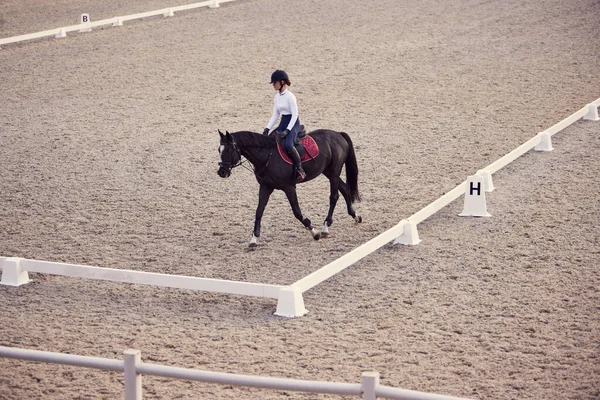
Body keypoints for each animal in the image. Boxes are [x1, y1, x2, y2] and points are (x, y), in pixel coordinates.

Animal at [218, 129, 364, 247]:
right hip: (328, 172)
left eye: (228, 150)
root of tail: (338, 134)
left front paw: (314, 231)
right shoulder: (265, 187)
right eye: (219, 150)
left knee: (334, 196)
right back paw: (355, 216)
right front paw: (254, 238)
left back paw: (325, 227)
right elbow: (259, 211)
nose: (221, 172)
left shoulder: (289, 187)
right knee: (344, 189)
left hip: (334, 173)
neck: (267, 156)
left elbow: (297, 212)